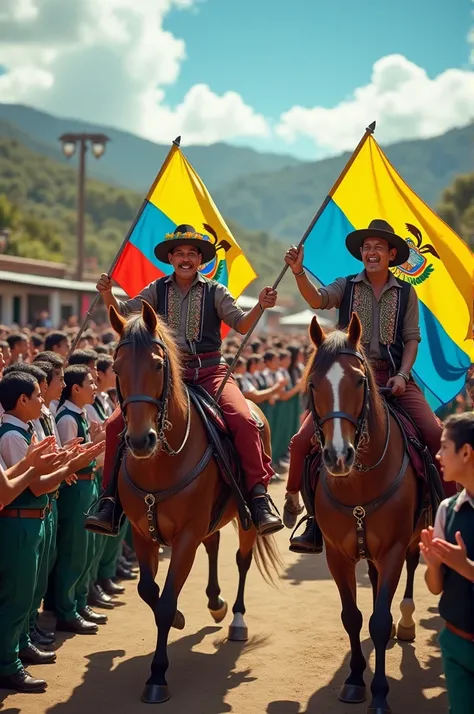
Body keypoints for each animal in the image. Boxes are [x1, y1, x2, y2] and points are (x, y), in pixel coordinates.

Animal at [109, 298, 280, 700]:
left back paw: (235, 618)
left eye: (157, 365)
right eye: (115, 368)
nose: (139, 440)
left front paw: (157, 677)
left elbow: (167, 600)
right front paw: (179, 618)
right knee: (214, 544)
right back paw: (215, 603)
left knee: (242, 559)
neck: (160, 462)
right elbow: (148, 590)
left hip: (246, 519)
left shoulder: (186, 535)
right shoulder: (142, 532)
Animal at [306, 314, 428, 712]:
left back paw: (405, 622)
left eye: (359, 381)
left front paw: (379, 693)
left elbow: (378, 620)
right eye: (313, 384)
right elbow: (353, 617)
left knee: (411, 566)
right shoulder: (337, 555)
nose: (337, 456)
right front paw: (356, 680)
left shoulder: (392, 550)